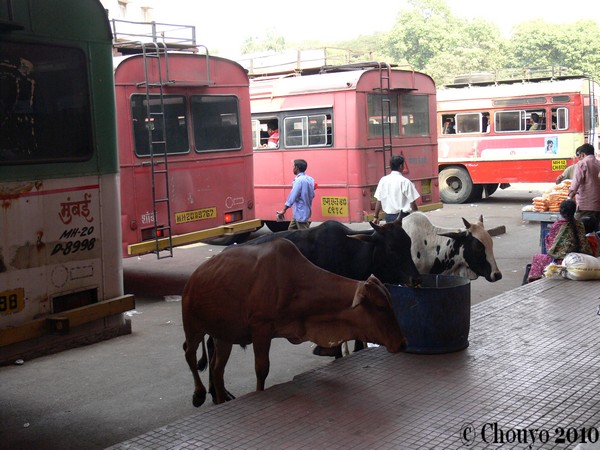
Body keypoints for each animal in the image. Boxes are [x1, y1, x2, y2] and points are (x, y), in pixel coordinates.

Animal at [182, 239, 408, 408]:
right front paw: (259, 392)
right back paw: (199, 394)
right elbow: (262, 369)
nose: (402, 343)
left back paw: (221, 399)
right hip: (192, 326)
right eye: (380, 307)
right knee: (189, 352)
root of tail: (195, 277)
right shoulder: (261, 328)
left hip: (224, 336)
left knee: (217, 369)